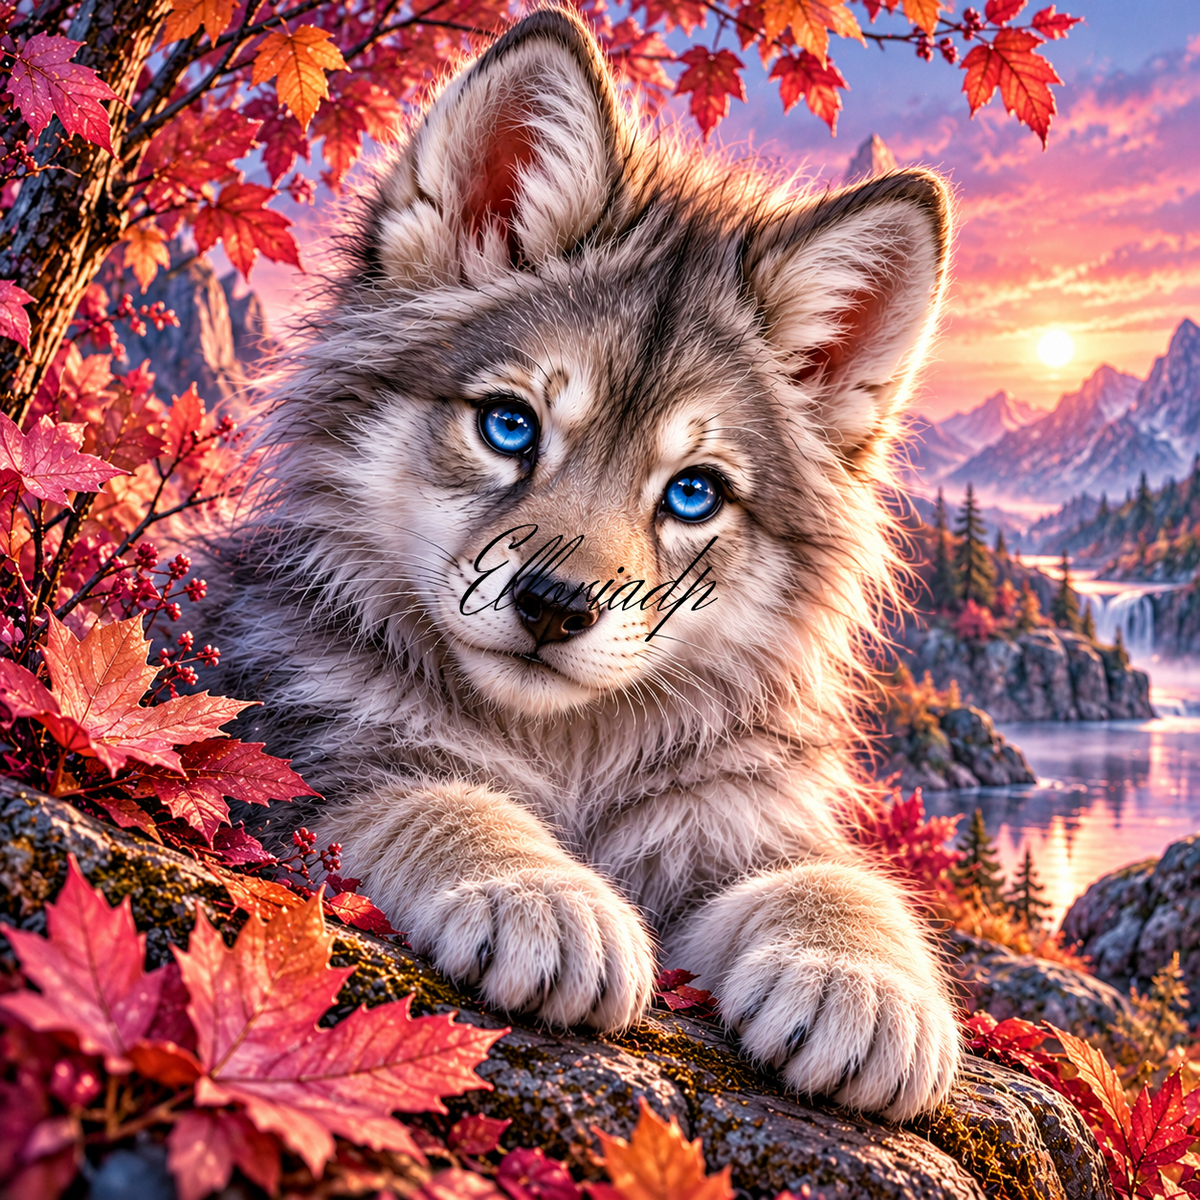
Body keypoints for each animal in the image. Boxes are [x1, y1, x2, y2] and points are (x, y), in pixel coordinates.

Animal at [210, 6, 961, 1121]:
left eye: (693, 493)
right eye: (509, 425)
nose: (555, 606)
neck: (569, 754)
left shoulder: (737, 819)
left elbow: (837, 880)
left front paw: (860, 979)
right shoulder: (300, 762)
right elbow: (440, 796)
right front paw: (539, 890)